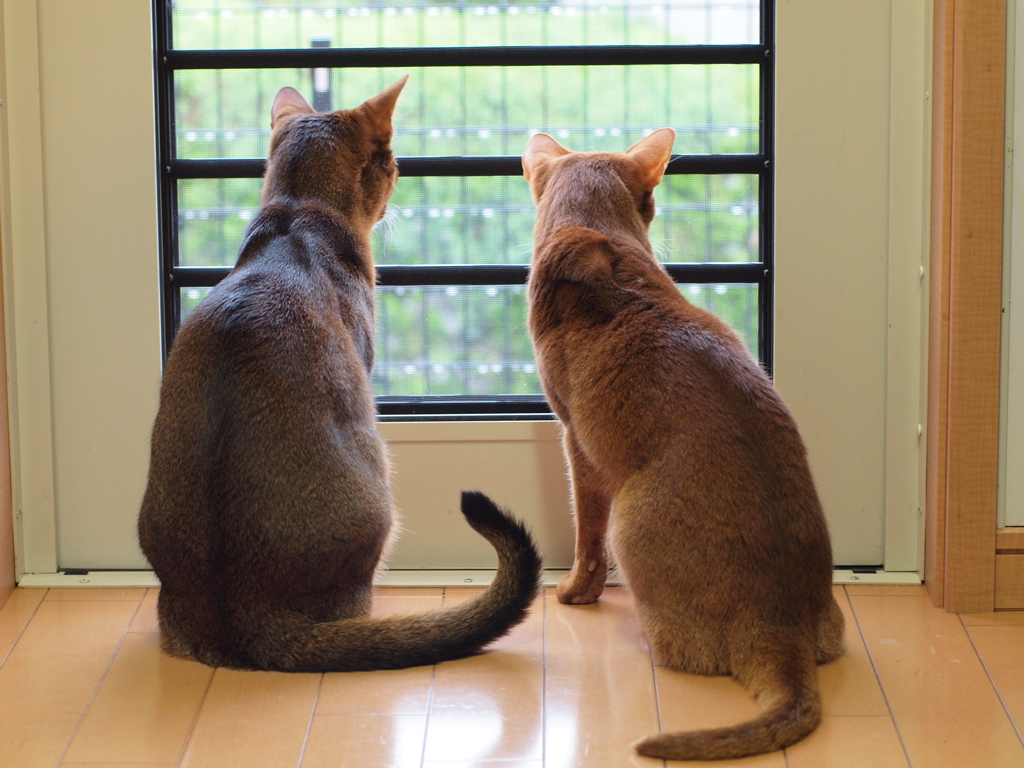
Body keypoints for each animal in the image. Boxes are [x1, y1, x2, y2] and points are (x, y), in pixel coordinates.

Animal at [524, 129, 843, 761]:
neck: (597, 236)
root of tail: (780, 625)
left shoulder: (577, 440)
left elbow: (585, 533)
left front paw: (575, 592)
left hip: (628, 517)